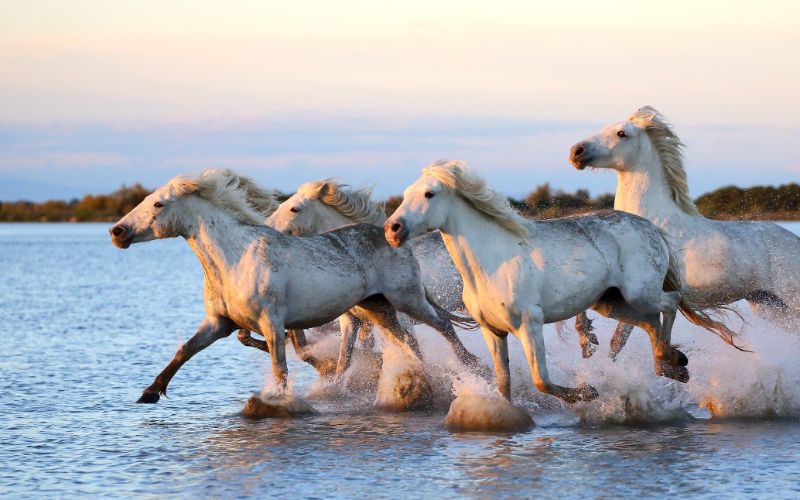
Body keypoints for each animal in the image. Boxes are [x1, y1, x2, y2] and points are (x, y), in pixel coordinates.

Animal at [266, 180, 484, 376]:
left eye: (295, 209)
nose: (267, 227)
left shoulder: (403, 319)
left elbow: (413, 349)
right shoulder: (352, 321)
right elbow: (344, 361)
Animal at [384, 162, 696, 404]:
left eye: (429, 194)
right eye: (406, 194)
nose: (392, 229)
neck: (492, 261)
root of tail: (650, 227)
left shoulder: (529, 325)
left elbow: (541, 380)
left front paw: (587, 393)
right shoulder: (492, 331)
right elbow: (503, 383)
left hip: (639, 293)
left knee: (670, 303)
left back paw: (670, 361)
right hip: (610, 303)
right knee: (650, 323)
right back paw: (672, 365)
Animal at [568, 106, 800, 354]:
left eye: (622, 133)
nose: (576, 152)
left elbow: (621, 335)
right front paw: (588, 341)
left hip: (791, 301)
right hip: (769, 305)